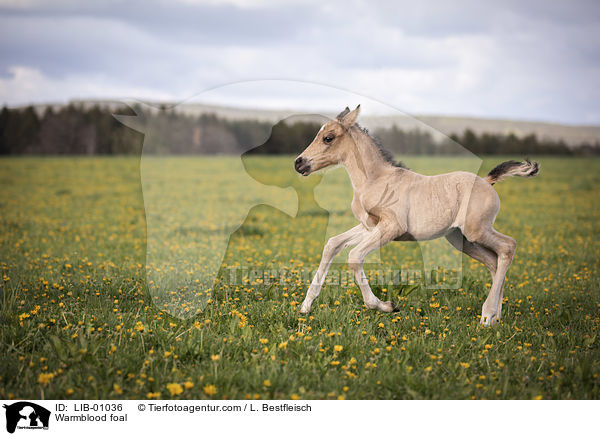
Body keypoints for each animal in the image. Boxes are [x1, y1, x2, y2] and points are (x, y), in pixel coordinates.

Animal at [296, 104, 540, 324]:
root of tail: (487, 181)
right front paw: (306, 306)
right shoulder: (370, 226)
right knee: (493, 261)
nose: (299, 163)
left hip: (476, 231)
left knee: (508, 247)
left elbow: (354, 257)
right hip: (460, 238)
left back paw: (487, 316)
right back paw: (496, 316)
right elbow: (332, 244)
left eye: (328, 138)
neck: (375, 180)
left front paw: (386, 306)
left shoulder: (392, 227)